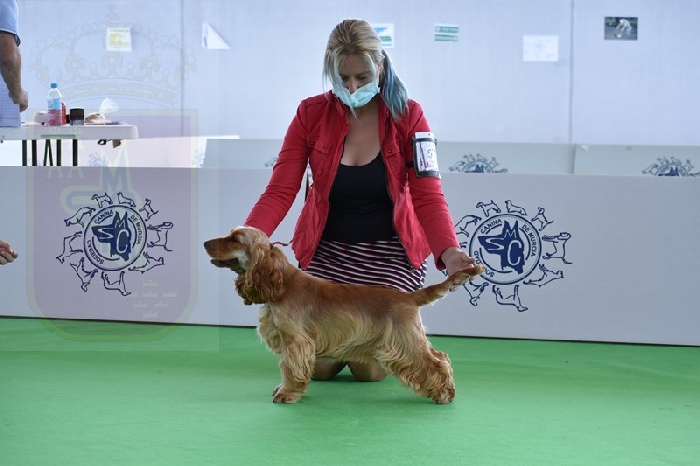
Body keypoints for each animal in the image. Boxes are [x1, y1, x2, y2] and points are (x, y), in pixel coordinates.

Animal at [204, 226, 485, 404]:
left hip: (403, 342)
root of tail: (408, 296)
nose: (205, 243)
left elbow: (290, 368)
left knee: (435, 363)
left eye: (235, 239)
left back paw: (445, 394)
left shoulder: (296, 341)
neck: (280, 283)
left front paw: (287, 393)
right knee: (442, 356)